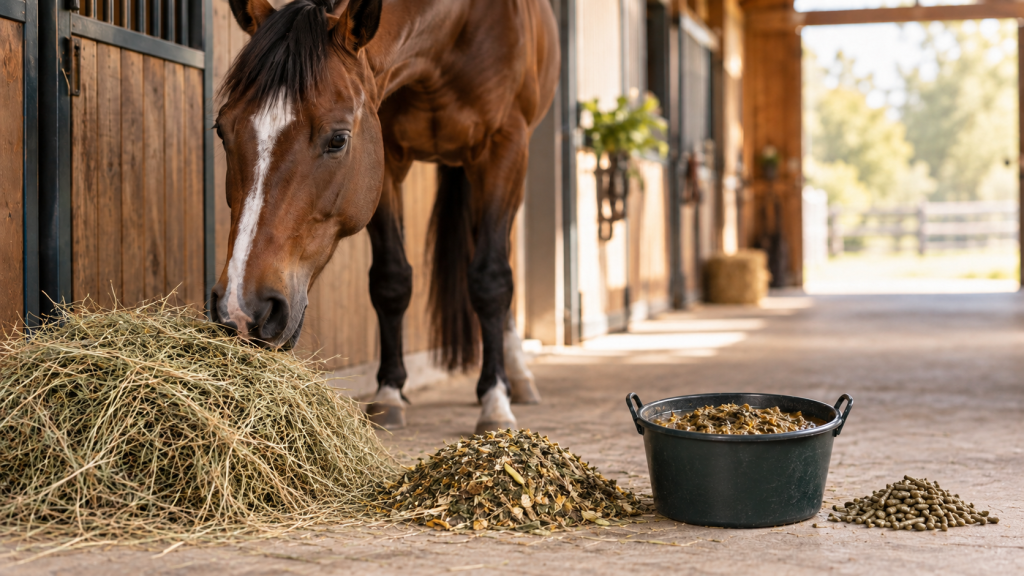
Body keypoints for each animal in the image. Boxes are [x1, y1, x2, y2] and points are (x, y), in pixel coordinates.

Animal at [210, 0, 560, 433]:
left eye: (338, 139)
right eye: (222, 129)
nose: (242, 308)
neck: (458, 26)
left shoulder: (504, 147)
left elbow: (490, 280)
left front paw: (495, 400)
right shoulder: (386, 159)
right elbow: (391, 281)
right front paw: (389, 393)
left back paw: (518, 377)